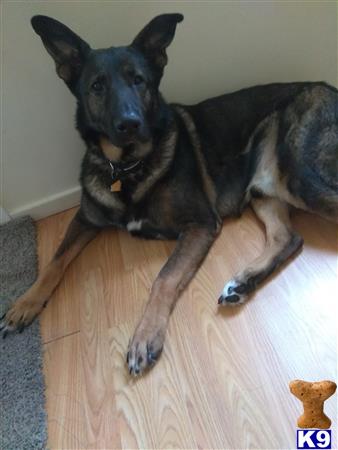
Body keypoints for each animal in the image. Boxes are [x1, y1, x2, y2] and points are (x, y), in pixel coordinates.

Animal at [1, 14, 336, 374]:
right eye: (97, 86)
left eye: (139, 81)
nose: (130, 124)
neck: (127, 168)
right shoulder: (85, 219)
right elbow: (55, 260)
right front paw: (24, 303)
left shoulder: (199, 224)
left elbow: (163, 278)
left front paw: (145, 335)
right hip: (263, 188)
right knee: (288, 238)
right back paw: (243, 282)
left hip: (301, 177)